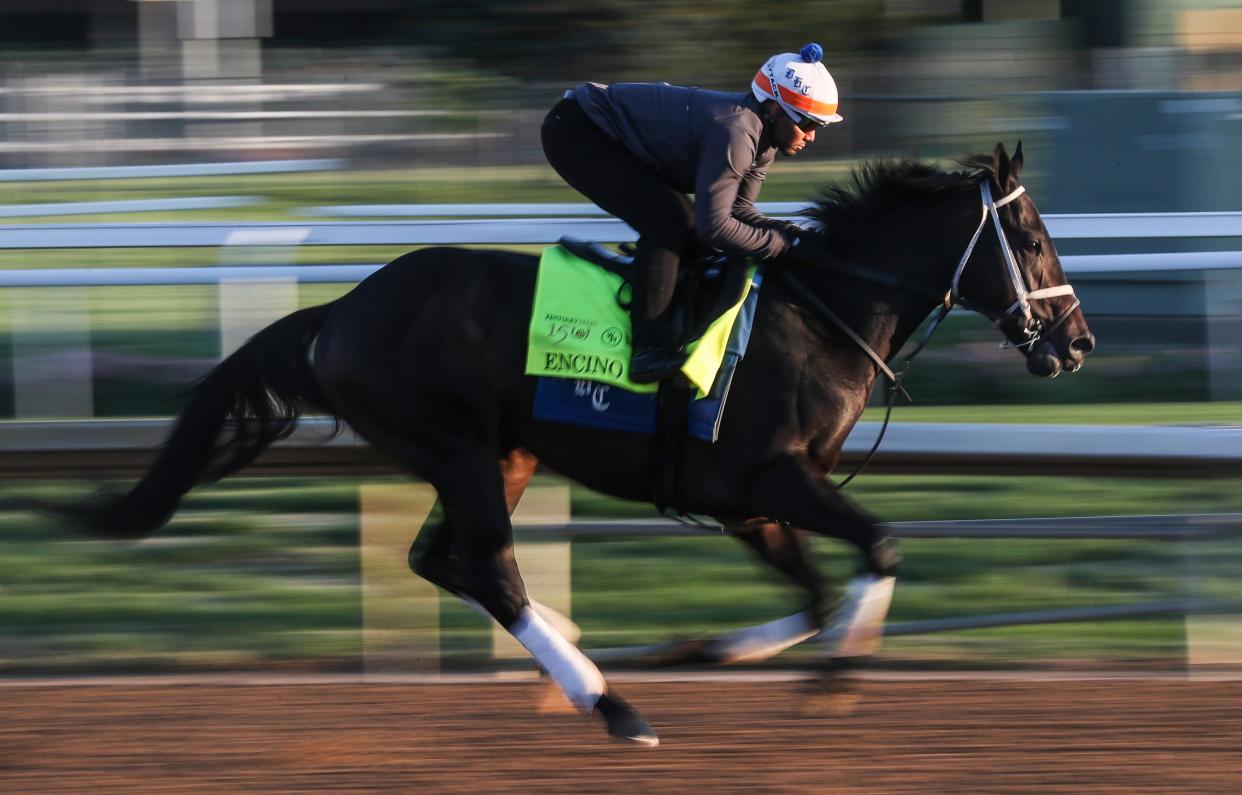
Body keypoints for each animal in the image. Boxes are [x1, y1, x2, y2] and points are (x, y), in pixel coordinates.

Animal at [58, 141, 1092, 745]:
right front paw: (834, 676)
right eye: (1033, 236)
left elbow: (815, 593)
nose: (1076, 342)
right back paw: (609, 701)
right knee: (490, 567)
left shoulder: (750, 504)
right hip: (459, 447)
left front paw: (706, 650)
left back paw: (580, 653)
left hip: (501, 453)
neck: (822, 313)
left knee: (447, 560)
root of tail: (340, 311)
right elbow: (879, 546)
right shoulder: (770, 478)